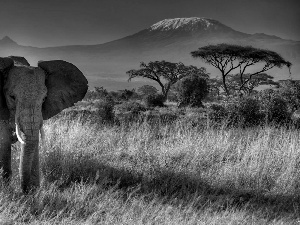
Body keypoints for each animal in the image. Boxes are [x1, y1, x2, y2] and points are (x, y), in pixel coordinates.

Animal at [0, 55, 88, 192]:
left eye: (44, 99)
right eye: (12, 97)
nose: (24, 191)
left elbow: (33, 140)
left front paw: (34, 191)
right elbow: (4, 143)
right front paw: (6, 189)